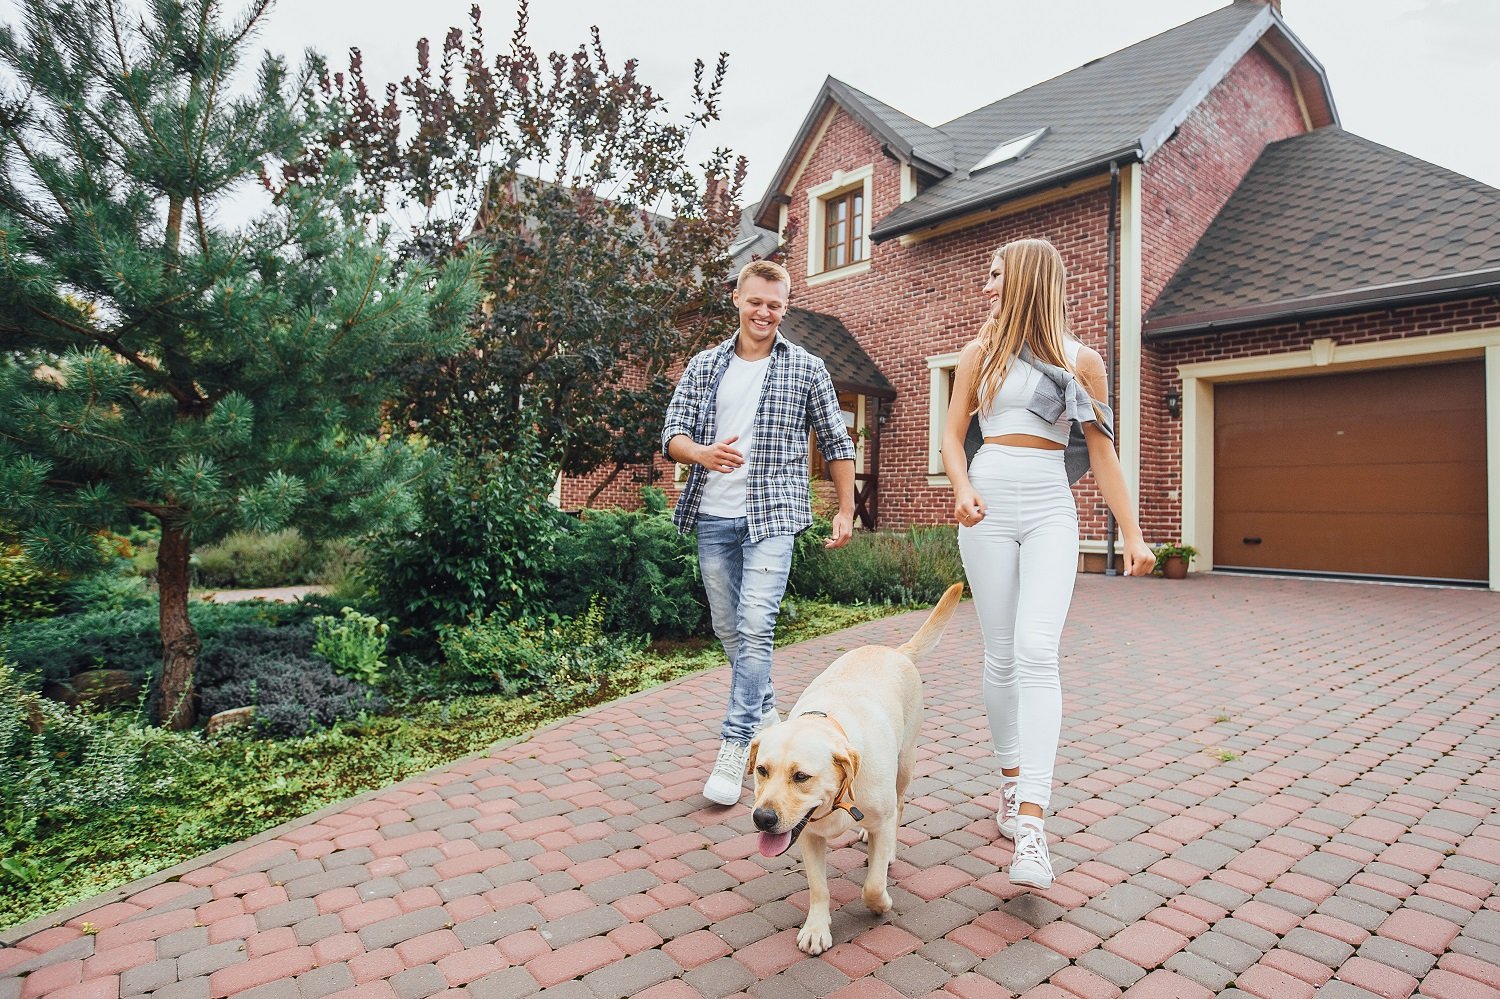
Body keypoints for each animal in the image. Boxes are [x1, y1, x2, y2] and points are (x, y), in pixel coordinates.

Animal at [747, 579, 960, 954]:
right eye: (762, 771)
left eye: (801, 776)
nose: (763, 819)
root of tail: (897, 651)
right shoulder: (808, 836)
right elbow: (819, 888)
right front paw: (816, 927)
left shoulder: (880, 818)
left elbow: (873, 885)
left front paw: (880, 902)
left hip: (905, 764)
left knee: (898, 809)